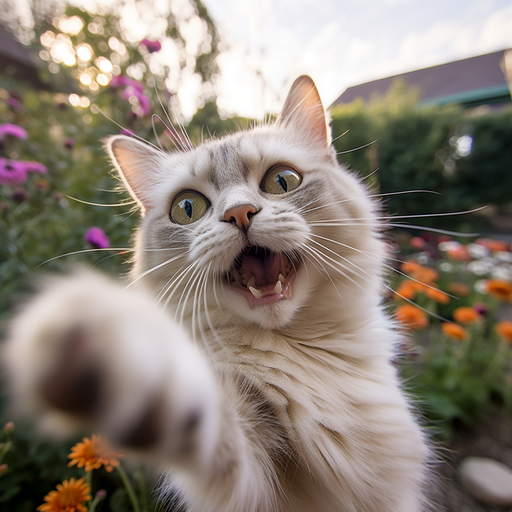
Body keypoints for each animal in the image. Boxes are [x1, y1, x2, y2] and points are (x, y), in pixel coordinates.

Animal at [4, 76, 430, 512]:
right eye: (187, 208)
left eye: (282, 181)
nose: (239, 213)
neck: (299, 354)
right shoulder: (252, 483)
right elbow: (213, 427)